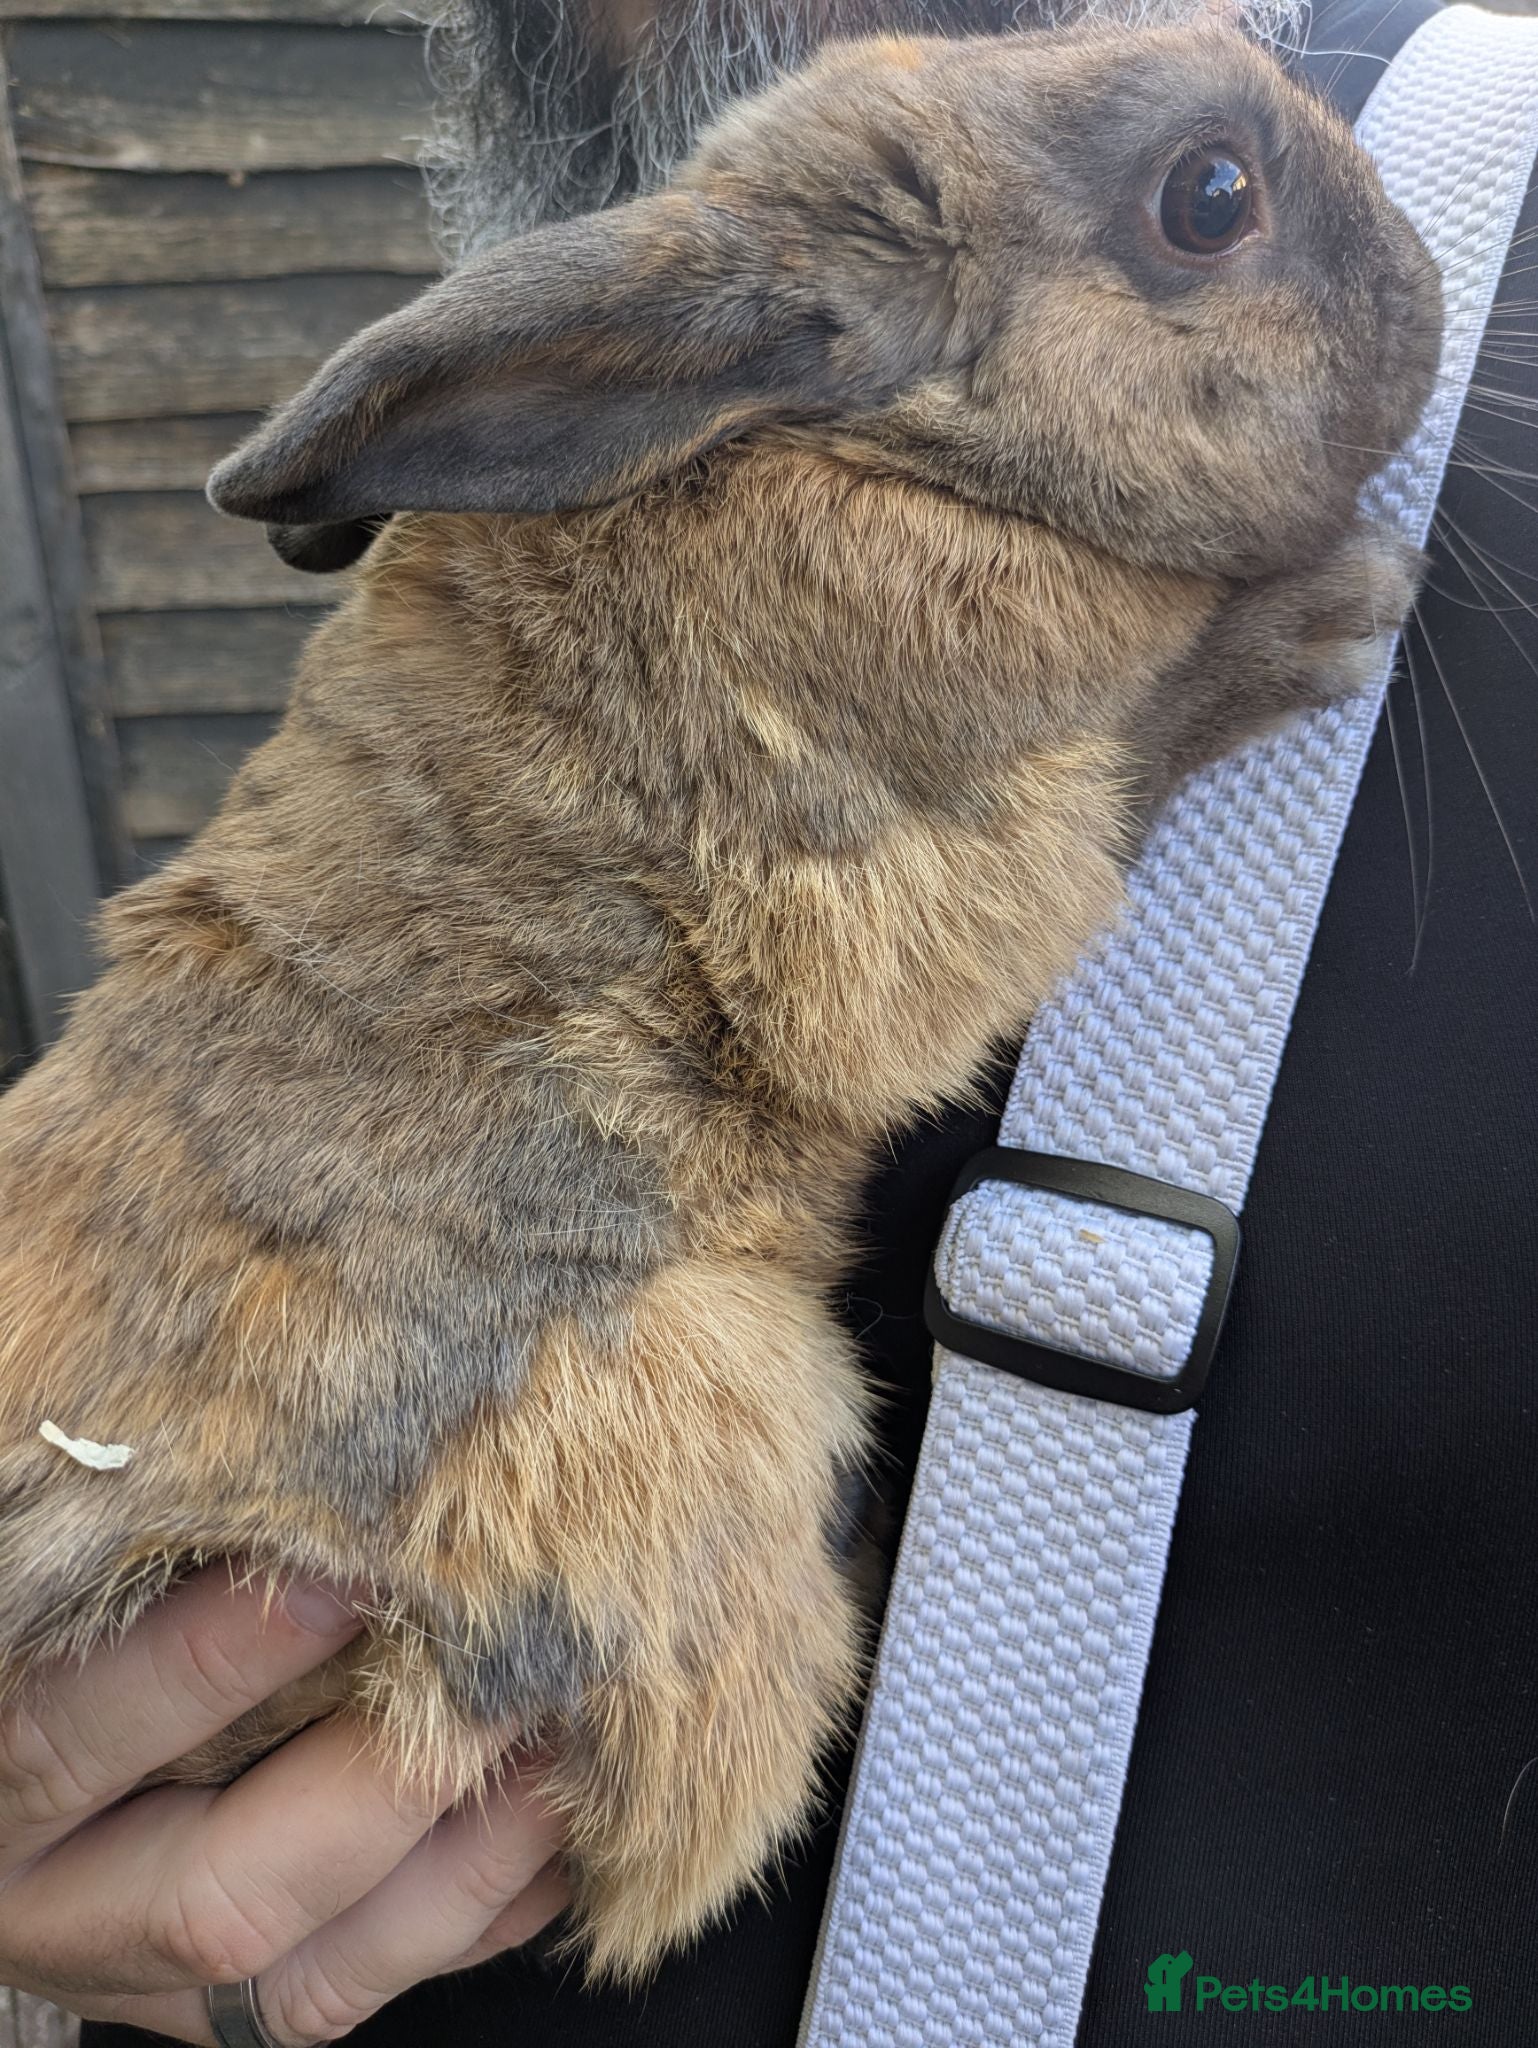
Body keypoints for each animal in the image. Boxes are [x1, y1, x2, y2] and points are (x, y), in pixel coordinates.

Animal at [0, 21, 1439, 1979]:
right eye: (1207, 198)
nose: (1427, 298)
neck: (867, 447)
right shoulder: (885, 872)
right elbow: (1106, 769)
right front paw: (1322, 616)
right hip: (713, 1407)